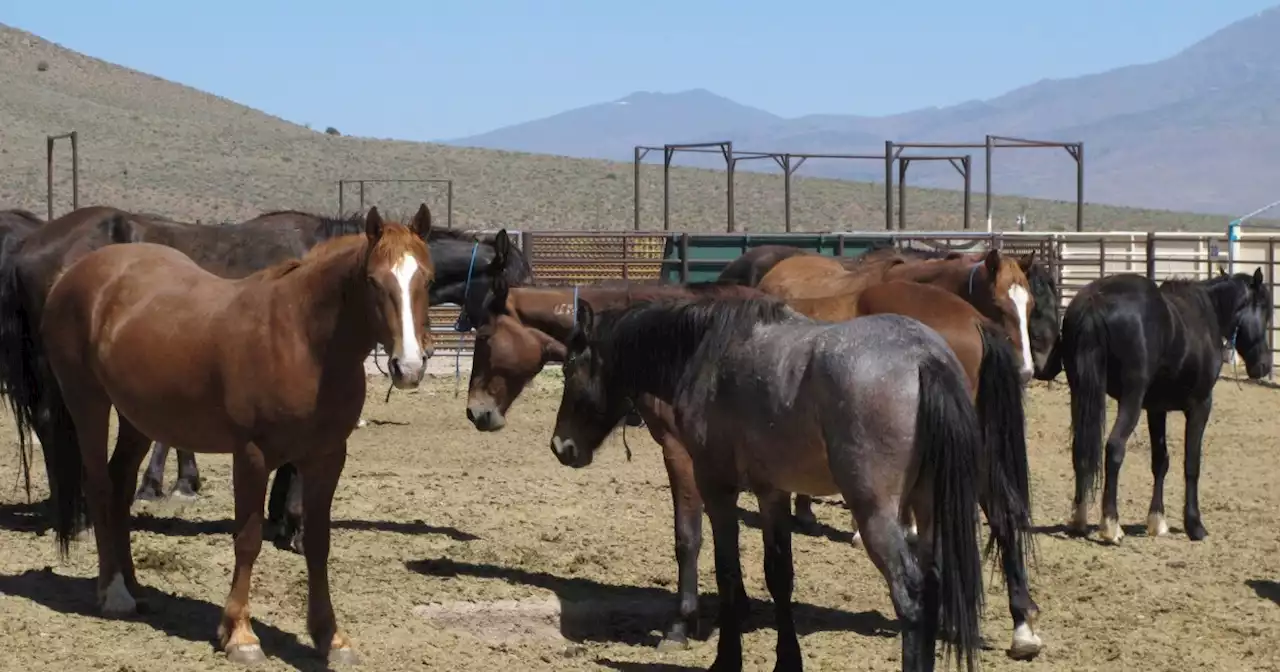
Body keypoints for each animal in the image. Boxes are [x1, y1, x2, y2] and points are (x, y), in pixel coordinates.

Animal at [24, 206, 432, 665]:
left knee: (120, 484)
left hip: (138, 417)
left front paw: (331, 638)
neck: (302, 339)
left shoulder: (327, 457)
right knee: (97, 486)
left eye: (427, 279)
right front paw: (240, 634)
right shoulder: (252, 455)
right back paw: (114, 593)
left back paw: (135, 586)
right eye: (373, 280)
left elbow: (318, 543)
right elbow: (248, 541)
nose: (409, 367)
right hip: (87, 401)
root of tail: (73, 274)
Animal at [552, 295, 988, 670]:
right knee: (932, 587)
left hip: (877, 514)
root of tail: (923, 357)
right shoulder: (772, 492)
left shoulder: (716, 485)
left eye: (570, 368)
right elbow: (779, 576)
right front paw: (787, 662)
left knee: (910, 595)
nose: (561, 446)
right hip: (928, 508)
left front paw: (726, 660)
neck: (708, 352)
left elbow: (727, 571)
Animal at [1054, 270, 1274, 542]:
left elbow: (1160, 461)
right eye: (1264, 309)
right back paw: (1111, 526)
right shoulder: (1200, 406)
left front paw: (1157, 521)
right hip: (1131, 398)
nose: (1264, 366)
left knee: (1080, 451)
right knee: (1114, 448)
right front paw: (1195, 525)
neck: (1206, 312)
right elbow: (1192, 464)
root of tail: (1096, 301)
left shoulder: (1156, 409)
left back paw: (1079, 520)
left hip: (1080, 392)